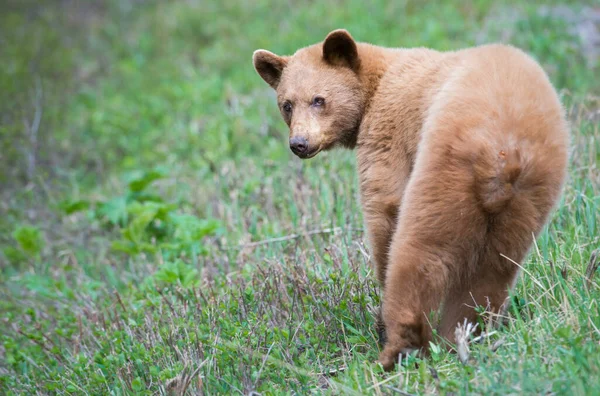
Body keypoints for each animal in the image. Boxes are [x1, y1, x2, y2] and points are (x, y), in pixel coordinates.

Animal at [251, 29, 568, 370]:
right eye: (286, 105)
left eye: (318, 99)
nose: (299, 143)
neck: (375, 86)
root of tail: (503, 151)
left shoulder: (388, 134)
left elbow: (384, 209)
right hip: (531, 193)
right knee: (493, 271)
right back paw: (464, 335)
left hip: (443, 172)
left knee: (420, 255)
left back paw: (398, 350)